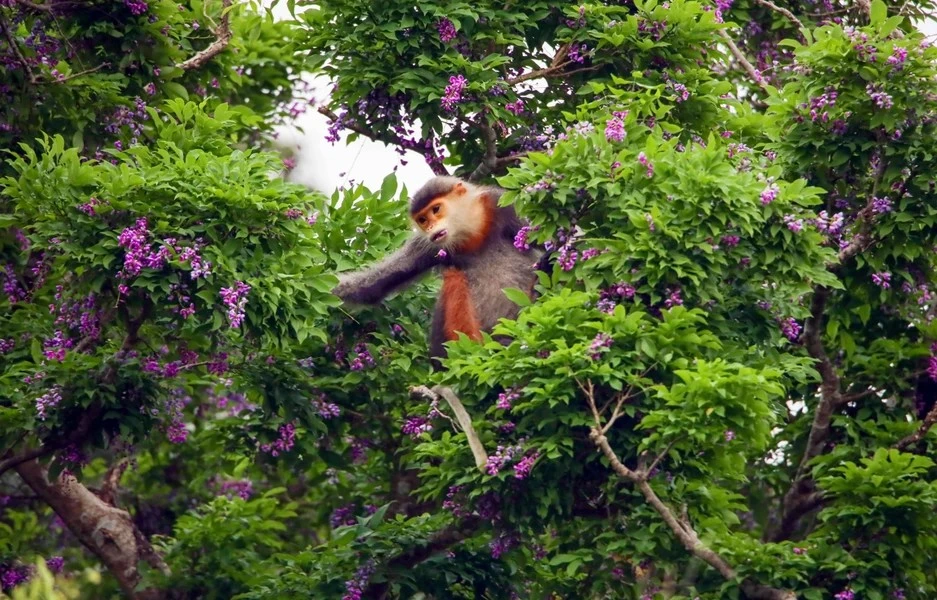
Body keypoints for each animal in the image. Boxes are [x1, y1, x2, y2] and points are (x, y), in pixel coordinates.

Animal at [334, 176, 540, 368]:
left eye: (436, 209)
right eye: (423, 220)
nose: (431, 227)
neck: (472, 234)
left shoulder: (502, 204)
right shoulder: (427, 244)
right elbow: (373, 287)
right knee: (453, 276)